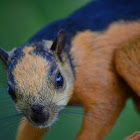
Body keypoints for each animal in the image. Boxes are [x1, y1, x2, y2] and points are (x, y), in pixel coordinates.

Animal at [0, 0, 139, 139]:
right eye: (10, 91)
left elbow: (105, 110)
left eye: (59, 80)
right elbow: (30, 129)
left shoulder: (102, 84)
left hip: (128, 55)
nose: (40, 118)